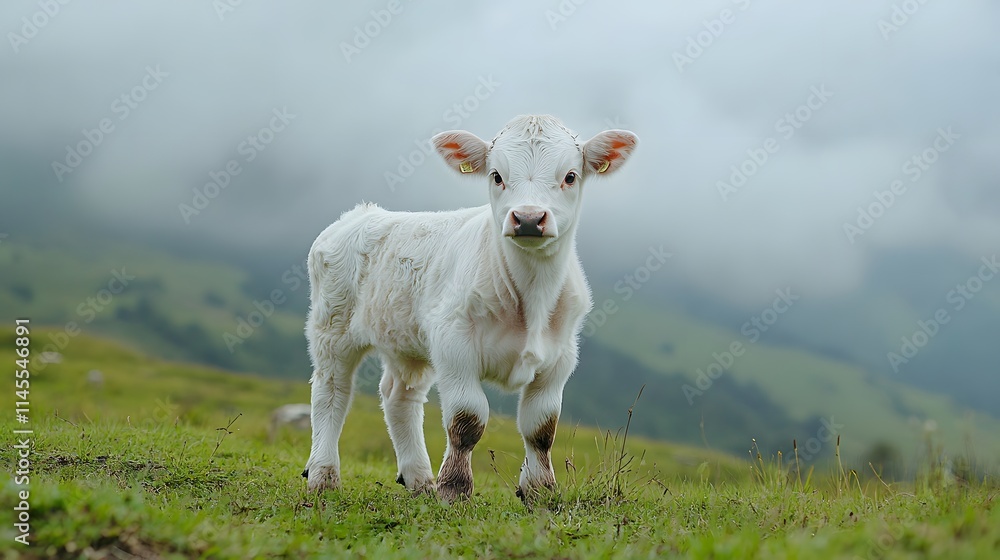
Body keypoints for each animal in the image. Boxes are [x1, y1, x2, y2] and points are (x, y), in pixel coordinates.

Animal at [302, 114, 638, 503]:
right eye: (496, 175)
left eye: (570, 176)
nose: (527, 218)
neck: (532, 298)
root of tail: (360, 214)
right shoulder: (454, 344)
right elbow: (467, 420)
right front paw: (454, 488)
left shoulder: (560, 357)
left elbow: (541, 428)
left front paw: (540, 491)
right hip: (333, 326)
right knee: (331, 392)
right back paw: (323, 475)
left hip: (407, 341)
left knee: (400, 397)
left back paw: (419, 480)